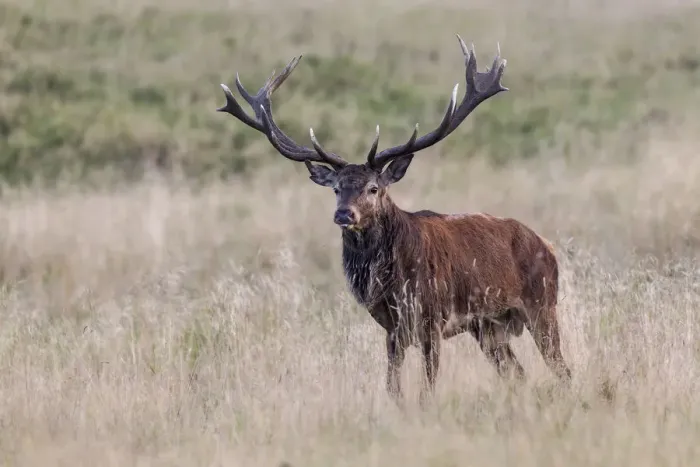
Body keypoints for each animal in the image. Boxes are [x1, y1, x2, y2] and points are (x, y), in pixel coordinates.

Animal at [216, 34, 572, 407]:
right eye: (336, 188)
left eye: (374, 188)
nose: (344, 214)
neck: (391, 278)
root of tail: (546, 245)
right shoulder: (392, 327)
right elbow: (392, 385)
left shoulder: (432, 318)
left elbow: (428, 384)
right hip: (489, 327)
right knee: (518, 374)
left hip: (542, 304)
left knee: (563, 370)